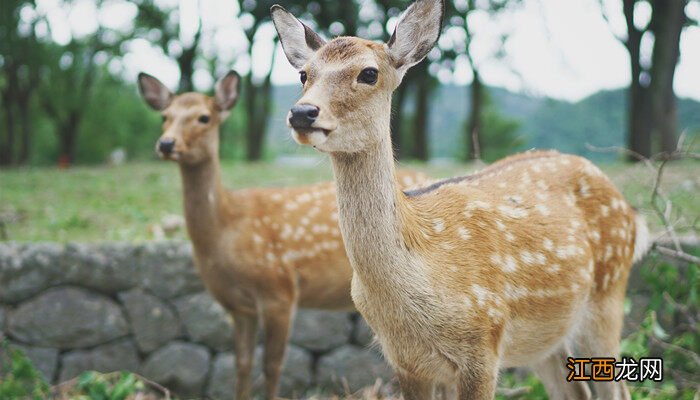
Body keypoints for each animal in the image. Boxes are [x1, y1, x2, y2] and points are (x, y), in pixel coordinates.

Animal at [134, 70, 424, 398]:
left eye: (203, 117)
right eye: (164, 116)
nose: (166, 143)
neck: (226, 230)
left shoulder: (279, 289)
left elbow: (273, 366)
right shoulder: (238, 306)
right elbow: (241, 364)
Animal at [272, 1, 652, 398]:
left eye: (369, 73)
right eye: (304, 74)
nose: (302, 112)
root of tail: (632, 214)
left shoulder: (483, 341)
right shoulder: (405, 360)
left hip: (607, 296)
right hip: (544, 339)